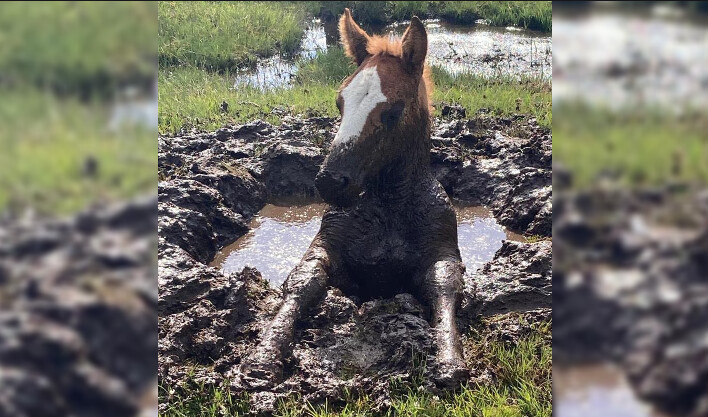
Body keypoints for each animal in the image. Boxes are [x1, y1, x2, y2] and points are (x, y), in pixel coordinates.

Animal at [239, 8, 470, 386]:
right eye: (340, 102)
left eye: (392, 112)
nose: (331, 182)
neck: (389, 208)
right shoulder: (326, 243)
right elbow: (304, 280)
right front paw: (264, 356)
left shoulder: (443, 247)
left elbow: (445, 284)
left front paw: (450, 360)